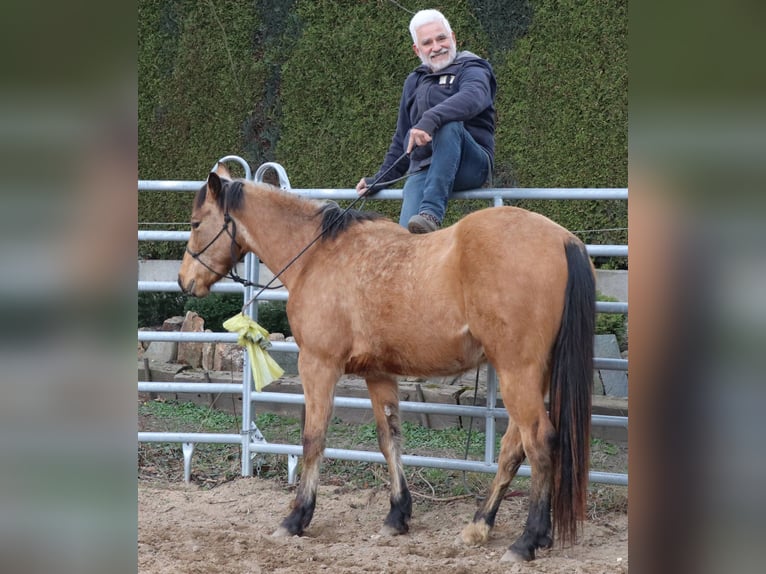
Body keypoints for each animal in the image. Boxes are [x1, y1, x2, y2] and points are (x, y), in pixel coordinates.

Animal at [178, 162, 596, 563]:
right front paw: (397, 515)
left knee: (539, 442)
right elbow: (389, 438)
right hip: (530, 375)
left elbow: (313, 439)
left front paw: (297, 517)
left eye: (196, 223)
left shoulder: (319, 365)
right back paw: (480, 526)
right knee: (514, 446)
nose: (184, 281)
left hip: (517, 372)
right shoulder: (378, 375)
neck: (318, 255)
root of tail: (564, 239)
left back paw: (526, 540)